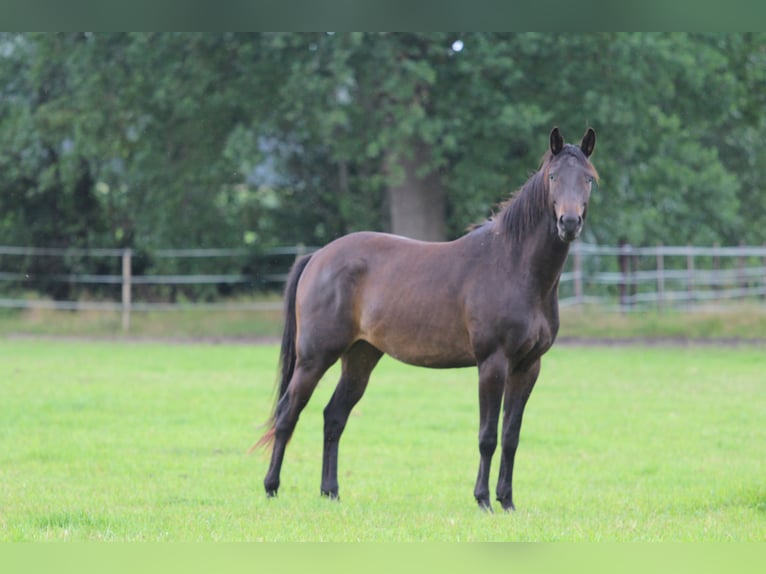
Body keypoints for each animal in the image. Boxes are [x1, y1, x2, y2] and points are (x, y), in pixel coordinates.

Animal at [254, 127, 598, 512]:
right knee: (288, 414)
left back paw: (330, 492)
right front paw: (483, 500)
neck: (514, 266)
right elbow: (488, 436)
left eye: (588, 178)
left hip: (360, 357)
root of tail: (317, 257)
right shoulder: (492, 363)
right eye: (553, 177)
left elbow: (511, 436)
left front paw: (507, 501)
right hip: (314, 358)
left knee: (334, 417)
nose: (569, 222)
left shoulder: (528, 366)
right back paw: (271, 487)